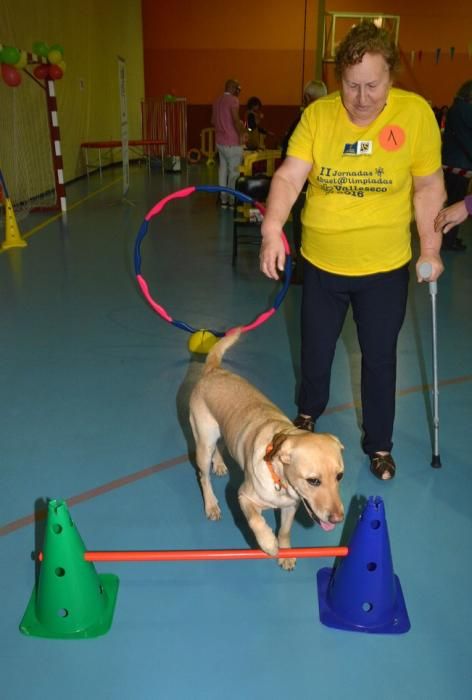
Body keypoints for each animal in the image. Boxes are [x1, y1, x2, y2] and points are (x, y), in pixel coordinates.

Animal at [189, 330, 346, 568]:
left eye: (339, 476)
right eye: (313, 481)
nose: (338, 519)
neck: (278, 477)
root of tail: (214, 370)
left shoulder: (291, 507)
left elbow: (285, 530)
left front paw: (286, 553)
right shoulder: (243, 496)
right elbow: (256, 520)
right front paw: (269, 543)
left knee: (218, 448)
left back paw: (220, 464)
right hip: (203, 442)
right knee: (203, 477)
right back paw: (211, 504)